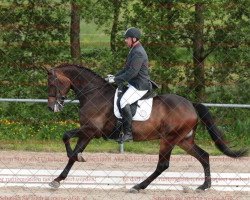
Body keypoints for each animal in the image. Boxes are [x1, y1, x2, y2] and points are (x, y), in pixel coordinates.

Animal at [47, 63, 248, 192]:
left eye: (52, 83)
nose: (51, 107)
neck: (93, 94)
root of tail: (191, 104)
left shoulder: (92, 130)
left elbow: (66, 136)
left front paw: (74, 158)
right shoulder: (87, 133)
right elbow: (72, 153)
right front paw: (58, 180)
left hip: (169, 139)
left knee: (163, 165)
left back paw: (138, 186)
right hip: (184, 140)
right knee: (204, 156)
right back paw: (204, 186)